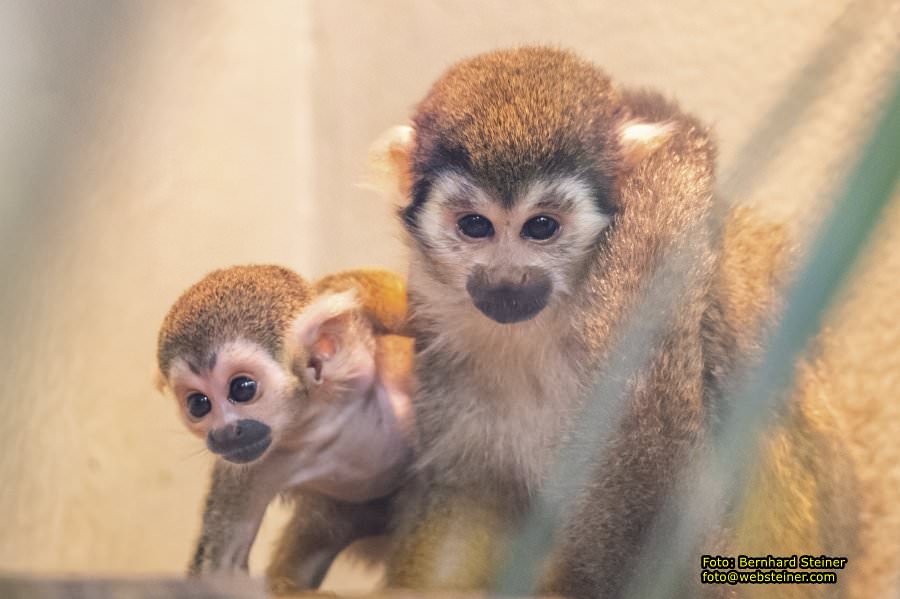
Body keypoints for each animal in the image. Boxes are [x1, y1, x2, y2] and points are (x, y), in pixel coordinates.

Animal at [156, 264, 414, 592]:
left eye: (242, 388)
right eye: (198, 404)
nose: (225, 433)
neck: (315, 422)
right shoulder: (250, 466)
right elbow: (221, 571)